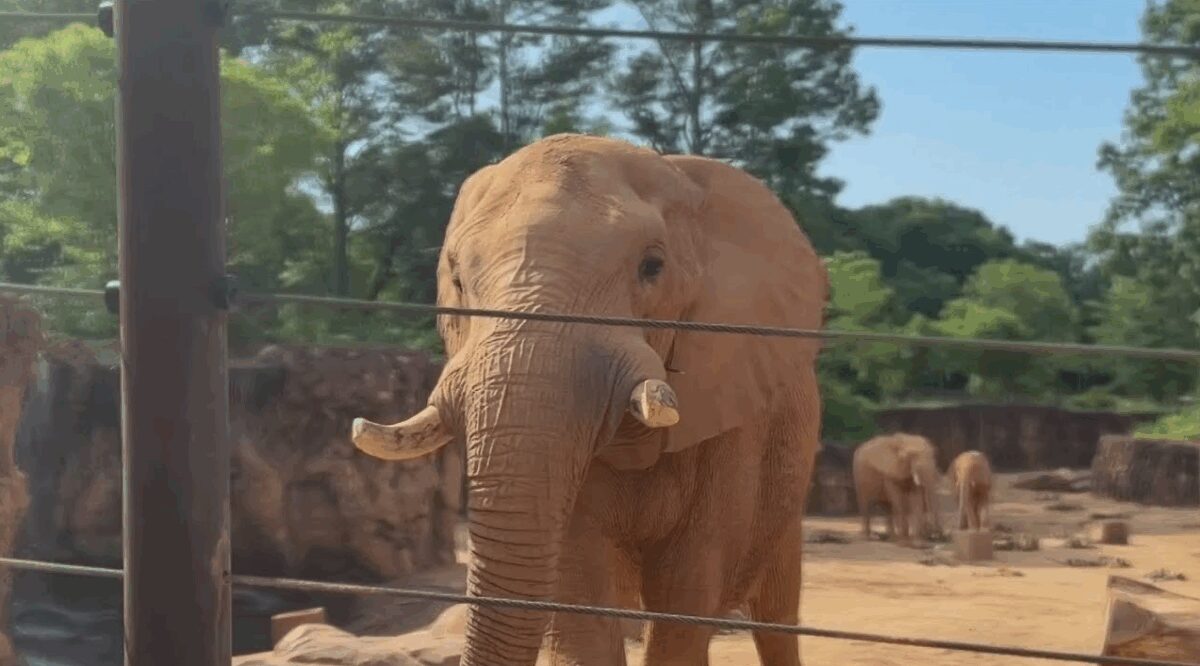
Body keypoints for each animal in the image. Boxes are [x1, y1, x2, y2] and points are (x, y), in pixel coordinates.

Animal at [350, 134, 828, 666]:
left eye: (652, 267)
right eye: (456, 280)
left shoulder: (732, 408)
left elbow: (689, 589)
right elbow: (579, 590)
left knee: (776, 614)